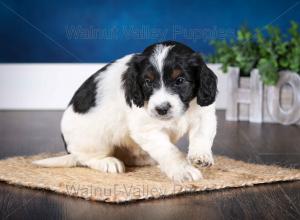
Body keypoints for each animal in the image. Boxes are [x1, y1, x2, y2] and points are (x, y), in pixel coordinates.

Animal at [33, 41, 218, 182]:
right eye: (148, 82)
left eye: (180, 80)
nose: (161, 109)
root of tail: (69, 149)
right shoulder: (147, 129)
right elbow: (169, 151)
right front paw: (183, 171)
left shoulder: (204, 114)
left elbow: (201, 135)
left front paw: (201, 156)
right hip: (96, 140)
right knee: (85, 159)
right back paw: (108, 162)